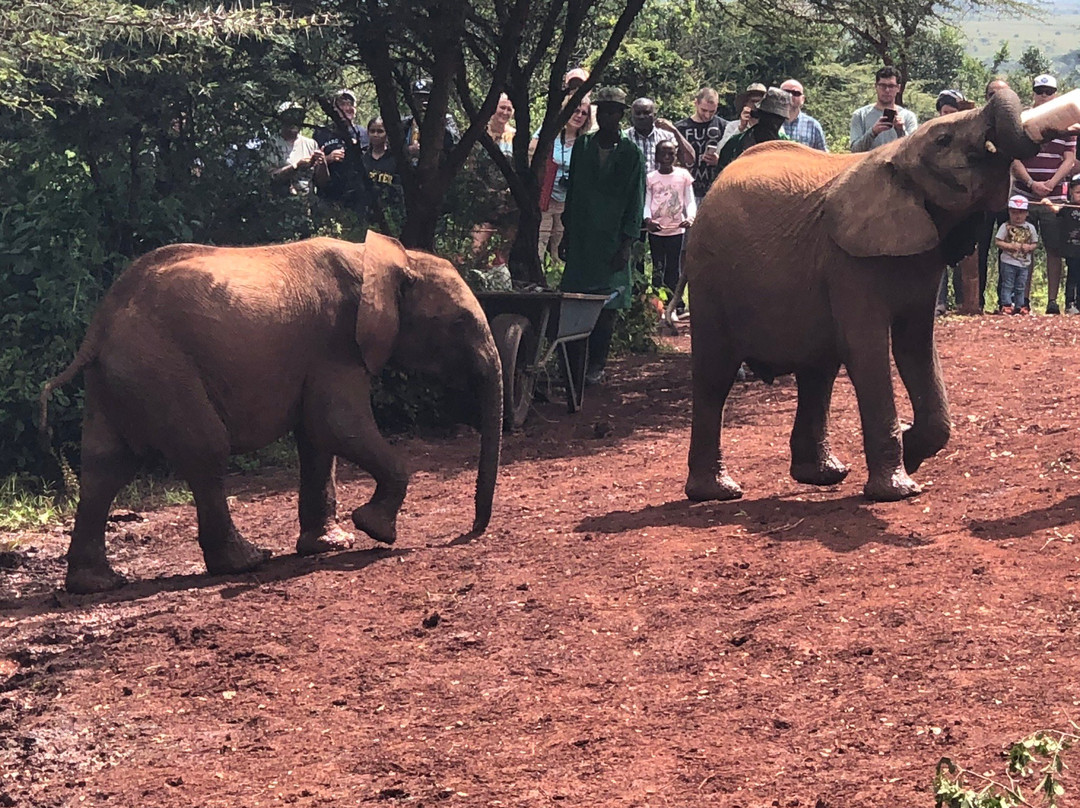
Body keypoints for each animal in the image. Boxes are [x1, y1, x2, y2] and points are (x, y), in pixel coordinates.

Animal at [38, 230, 501, 591]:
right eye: (459, 322)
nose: (470, 532)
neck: (388, 259)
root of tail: (100, 323)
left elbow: (318, 438)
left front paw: (333, 545)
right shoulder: (335, 342)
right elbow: (336, 425)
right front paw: (375, 530)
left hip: (119, 377)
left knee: (105, 466)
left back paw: (97, 584)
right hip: (160, 368)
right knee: (206, 449)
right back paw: (247, 561)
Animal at [682, 90, 1080, 505]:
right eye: (943, 140)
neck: (895, 155)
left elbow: (916, 346)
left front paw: (912, 450)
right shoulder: (848, 261)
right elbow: (868, 349)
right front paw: (898, 490)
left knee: (818, 372)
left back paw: (824, 475)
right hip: (707, 274)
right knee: (715, 375)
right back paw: (717, 492)